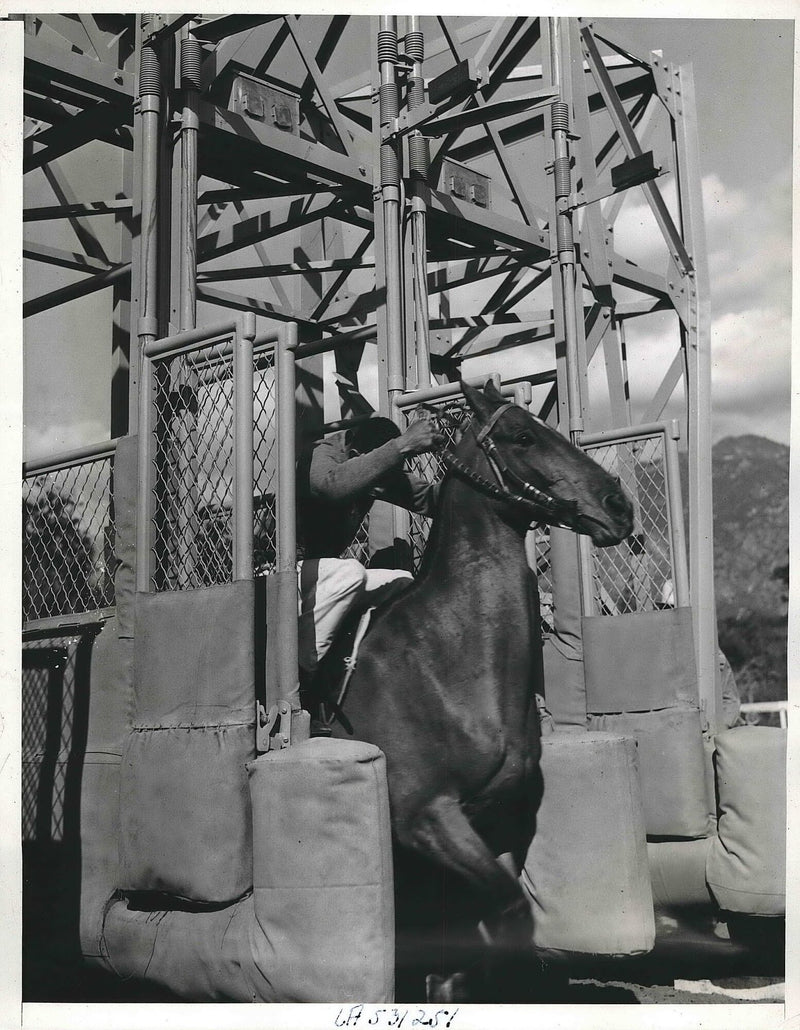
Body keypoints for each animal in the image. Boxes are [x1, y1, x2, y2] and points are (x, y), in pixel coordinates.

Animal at [323, 381, 630, 997]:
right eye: (523, 436)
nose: (619, 505)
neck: (451, 668)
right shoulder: (426, 816)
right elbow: (506, 914)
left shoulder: (499, 824)